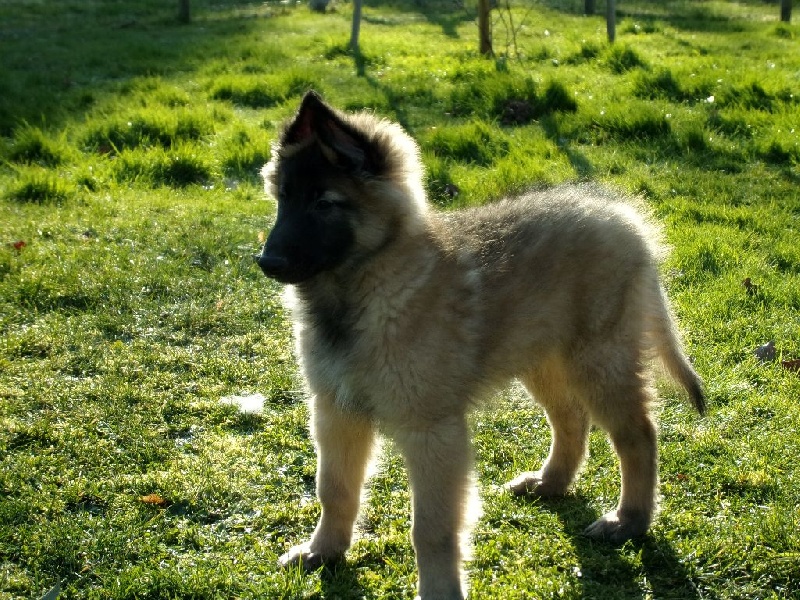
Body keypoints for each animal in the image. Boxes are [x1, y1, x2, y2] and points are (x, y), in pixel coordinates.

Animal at [256, 91, 705, 599]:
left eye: (325, 203)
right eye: (284, 198)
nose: (266, 261)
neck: (364, 288)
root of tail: (624, 219)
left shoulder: (431, 430)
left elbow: (430, 528)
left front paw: (439, 591)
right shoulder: (335, 409)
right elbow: (334, 490)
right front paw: (324, 551)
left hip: (600, 360)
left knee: (637, 435)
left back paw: (629, 520)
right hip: (543, 359)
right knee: (572, 418)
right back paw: (551, 482)